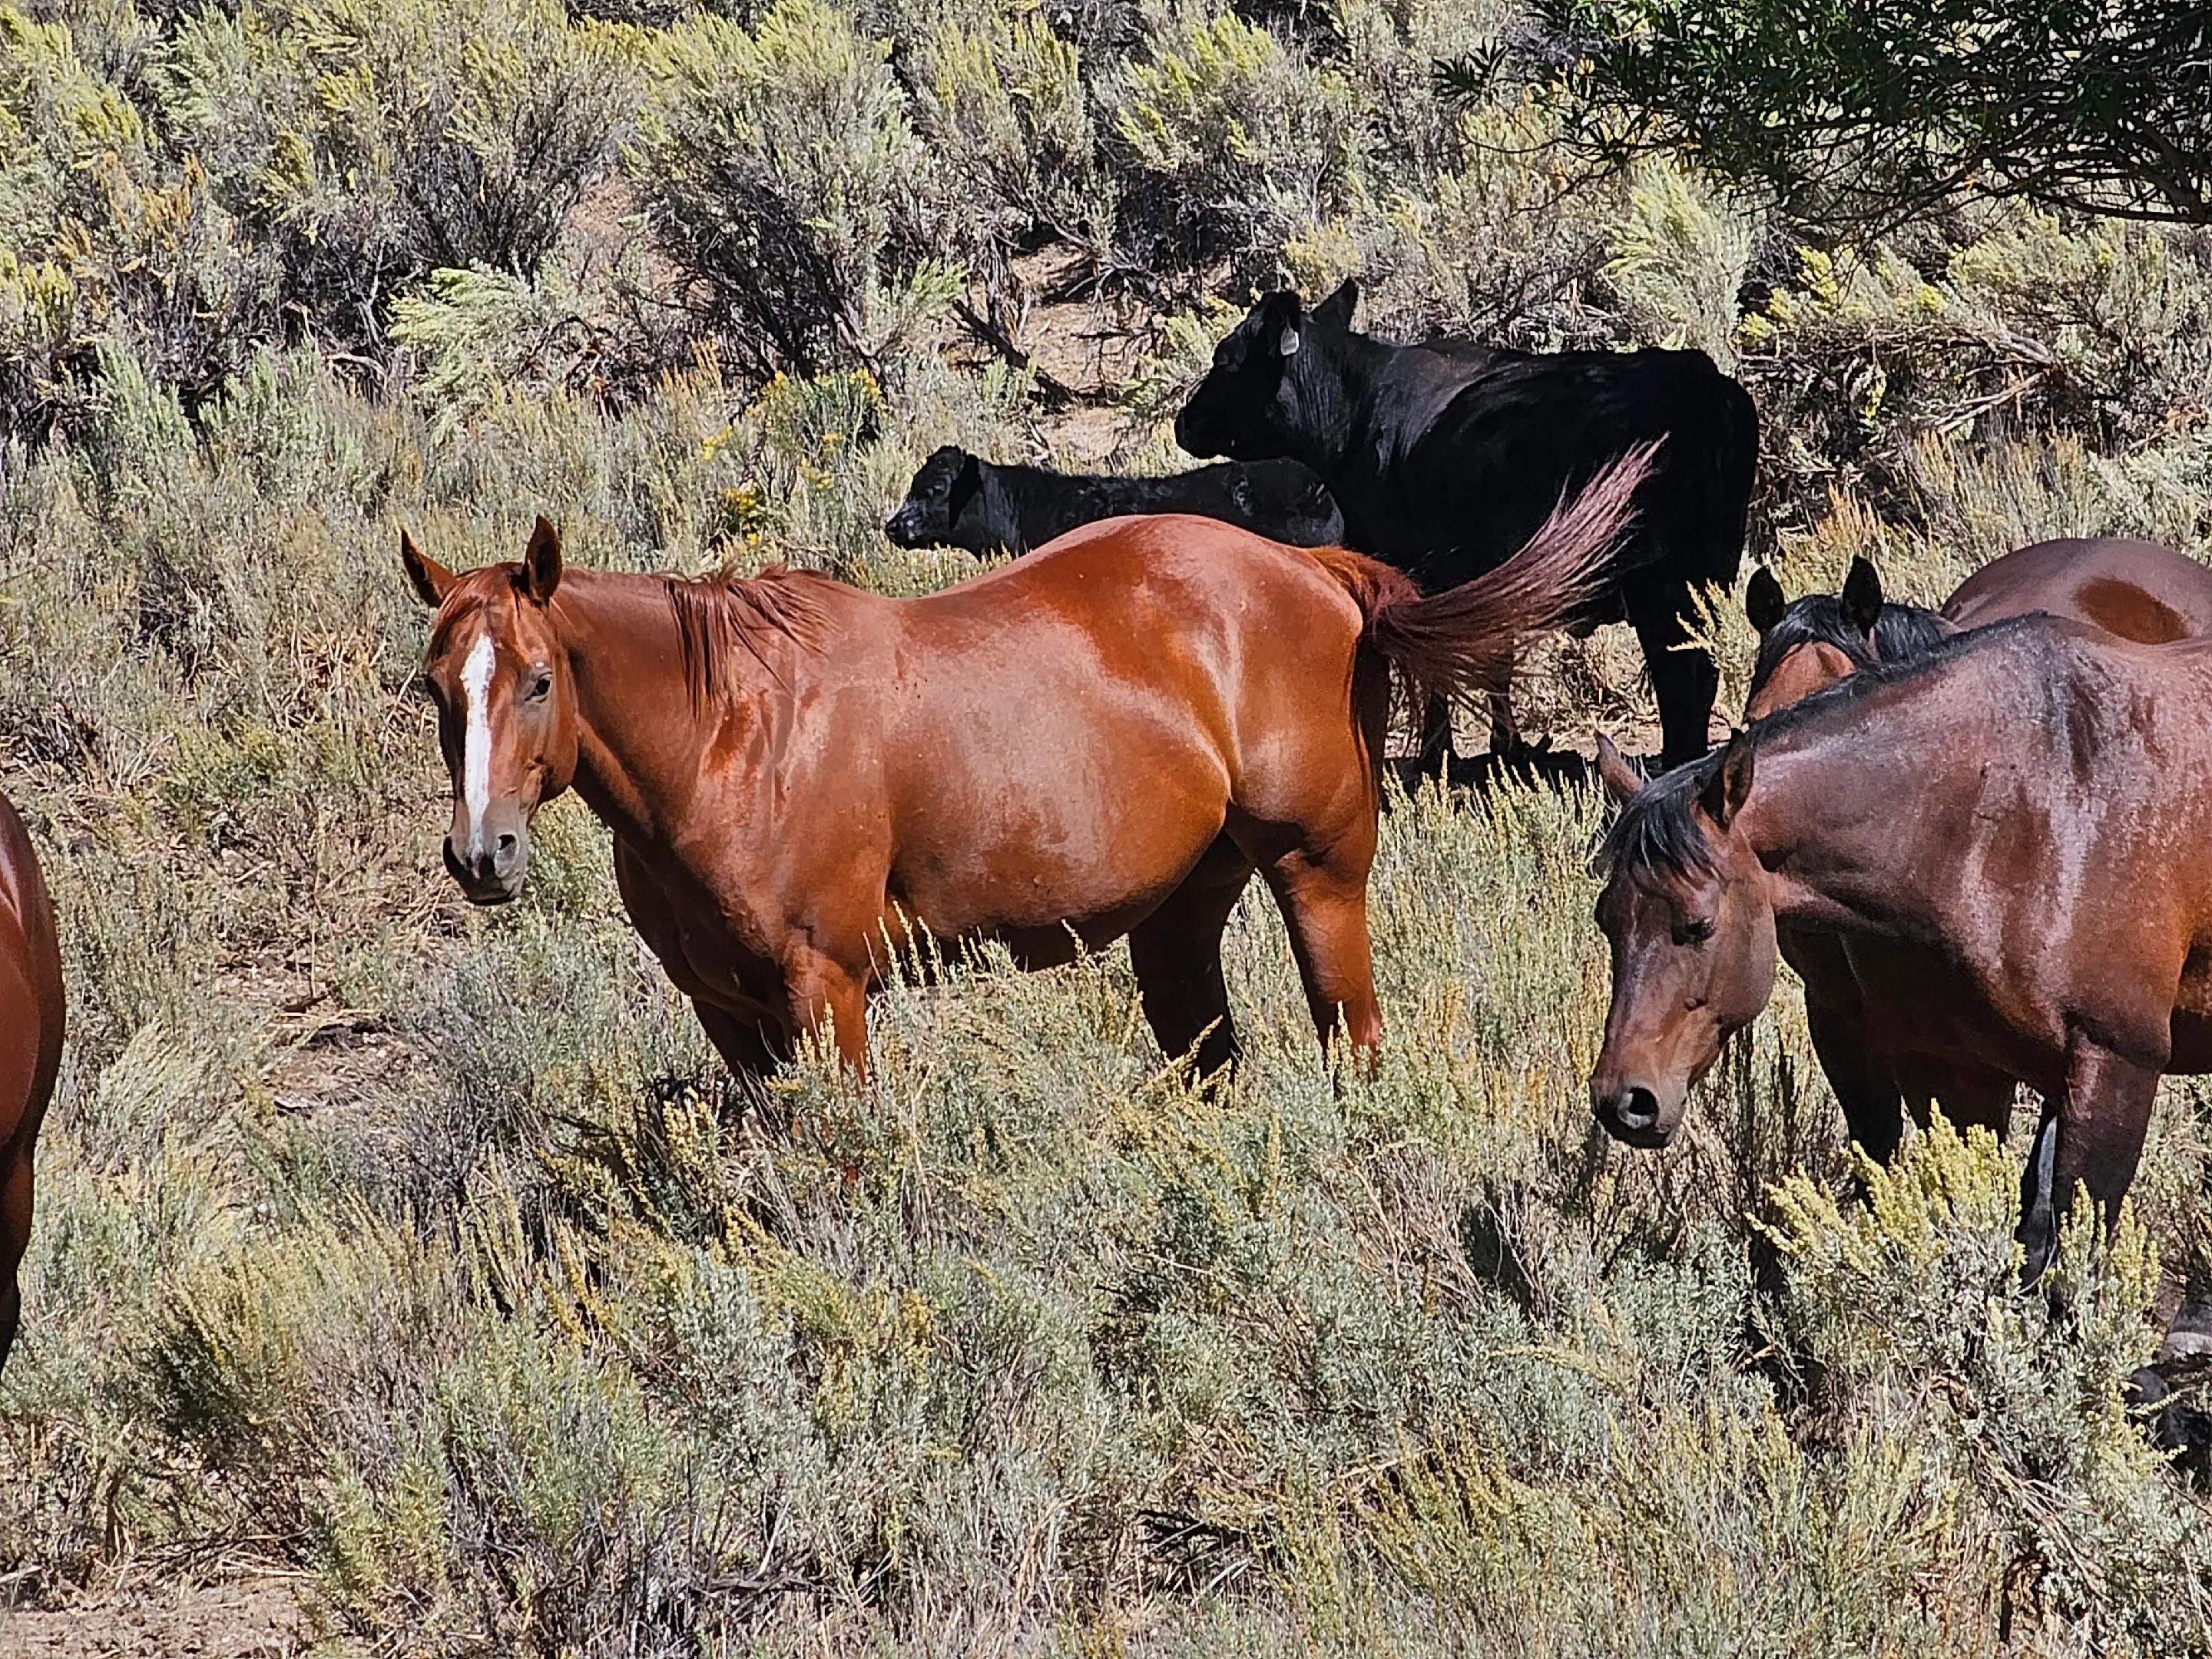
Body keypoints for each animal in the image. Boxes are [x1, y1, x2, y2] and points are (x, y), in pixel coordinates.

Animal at [1173, 279, 1759, 770]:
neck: (1358, 416)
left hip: (1658, 583)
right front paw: (1505, 749)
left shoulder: (1422, 570)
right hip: (1709, 571)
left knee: (1679, 672)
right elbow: (1497, 659)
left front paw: (1437, 758)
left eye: (1226, 357)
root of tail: (1701, 381)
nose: (1184, 420)